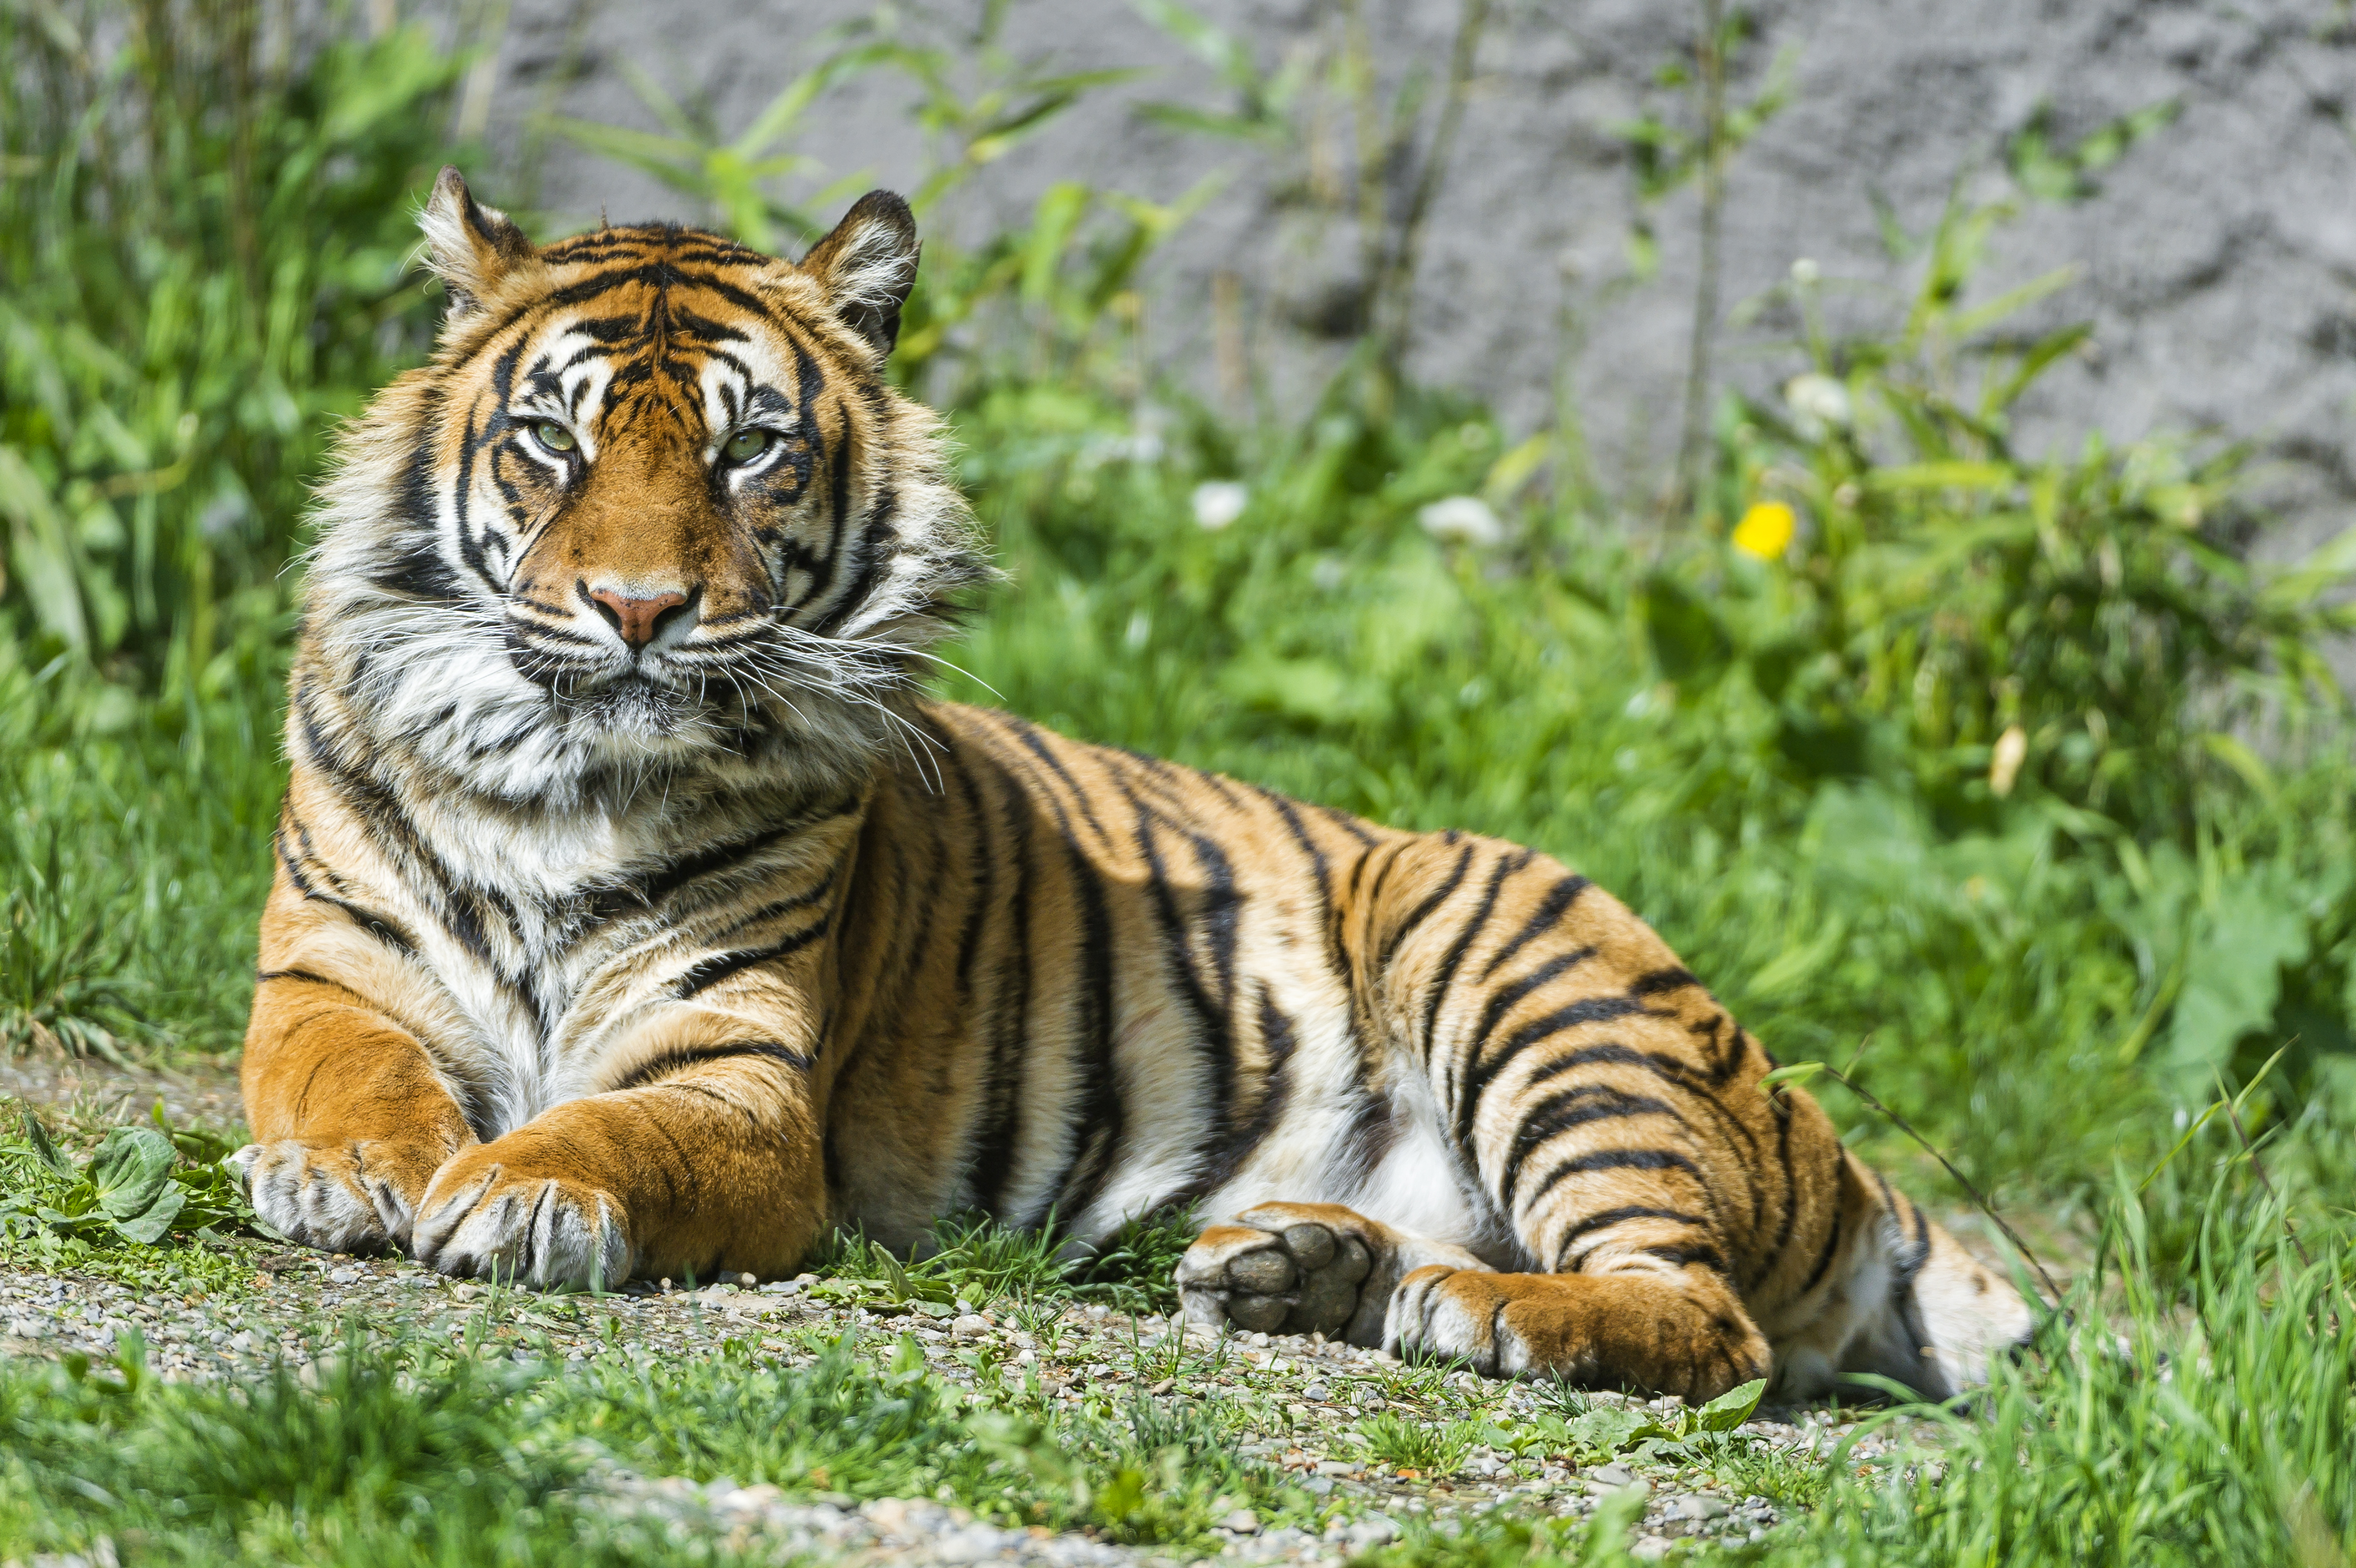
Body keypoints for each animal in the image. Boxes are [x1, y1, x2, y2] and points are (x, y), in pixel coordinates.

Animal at [244, 168, 2045, 1394]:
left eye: (750, 450)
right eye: (552, 441)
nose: (636, 610)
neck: (567, 778)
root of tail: (1823, 1140)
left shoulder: (735, 1074)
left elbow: (617, 1135)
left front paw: (521, 1190)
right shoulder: (328, 977)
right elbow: (344, 1074)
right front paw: (343, 1174)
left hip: (1522, 967)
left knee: (1705, 1319)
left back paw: (1476, 1314)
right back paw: (1294, 1271)